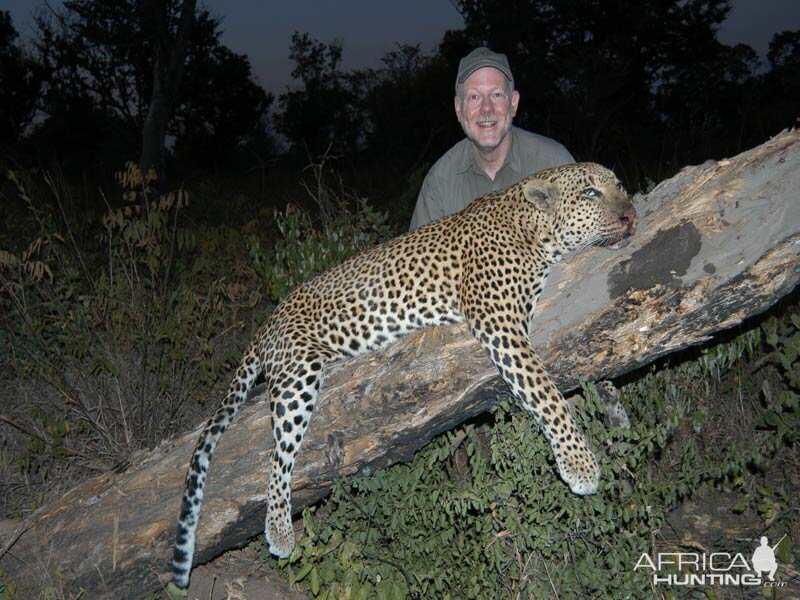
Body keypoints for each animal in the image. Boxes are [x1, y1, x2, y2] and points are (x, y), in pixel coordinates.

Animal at [169, 162, 636, 588]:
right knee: (277, 455)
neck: (534, 227)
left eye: (621, 186)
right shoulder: (499, 323)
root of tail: (267, 322)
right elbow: (546, 394)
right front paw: (580, 464)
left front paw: (615, 412)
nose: (630, 216)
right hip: (297, 375)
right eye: (591, 193)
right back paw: (280, 531)